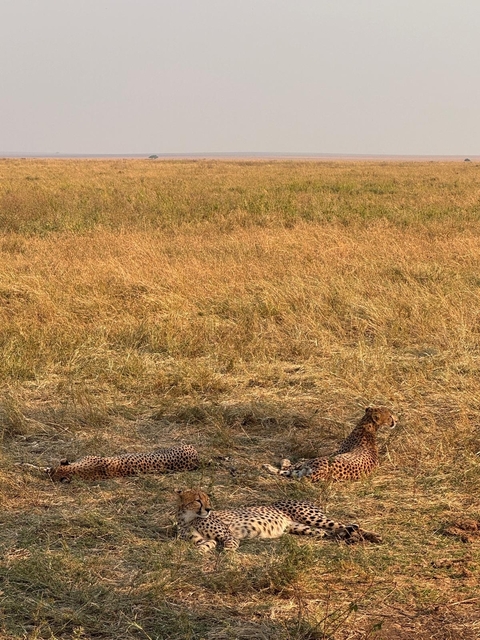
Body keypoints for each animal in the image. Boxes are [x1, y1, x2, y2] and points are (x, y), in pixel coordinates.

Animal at [176, 488, 382, 552]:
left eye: (207, 500)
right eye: (198, 500)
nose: (209, 509)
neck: (188, 519)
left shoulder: (228, 535)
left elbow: (230, 543)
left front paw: (228, 553)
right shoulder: (205, 540)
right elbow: (203, 546)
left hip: (311, 517)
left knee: (346, 525)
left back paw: (372, 536)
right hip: (301, 527)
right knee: (332, 532)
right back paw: (351, 538)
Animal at [262, 406, 396, 482]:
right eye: (389, 416)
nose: (396, 420)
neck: (367, 427)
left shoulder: (334, 453)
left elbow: (302, 459)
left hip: (312, 463)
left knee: (287, 468)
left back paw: (273, 464)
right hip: (303, 471)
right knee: (287, 472)